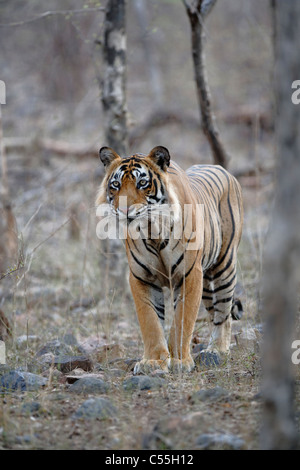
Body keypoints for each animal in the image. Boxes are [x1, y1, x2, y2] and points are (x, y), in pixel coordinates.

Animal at [96, 145, 244, 372]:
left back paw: (217, 350)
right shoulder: (141, 278)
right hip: (207, 285)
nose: (123, 211)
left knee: (224, 314)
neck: (152, 230)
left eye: (142, 183)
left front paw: (180, 361)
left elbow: (183, 319)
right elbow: (150, 321)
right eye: (116, 184)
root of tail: (222, 169)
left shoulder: (190, 275)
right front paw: (153, 361)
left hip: (223, 269)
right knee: (216, 313)